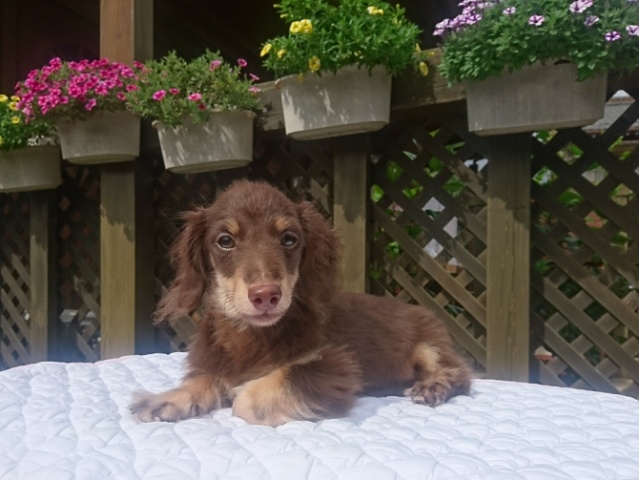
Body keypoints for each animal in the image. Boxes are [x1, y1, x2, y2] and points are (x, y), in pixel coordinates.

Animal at [130, 180, 472, 426]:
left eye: (289, 238)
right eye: (225, 240)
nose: (266, 295)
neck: (252, 335)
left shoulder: (333, 366)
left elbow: (254, 394)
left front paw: (238, 391)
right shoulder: (214, 363)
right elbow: (203, 380)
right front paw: (166, 400)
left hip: (430, 346)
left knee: (460, 373)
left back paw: (432, 386)